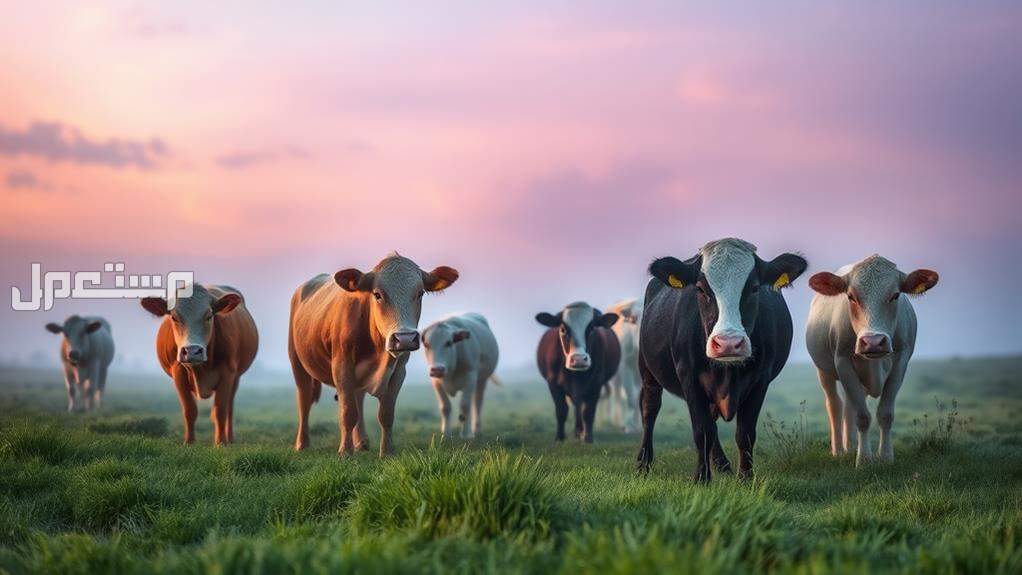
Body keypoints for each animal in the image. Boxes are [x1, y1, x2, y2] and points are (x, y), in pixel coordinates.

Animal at [140, 283, 257, 445]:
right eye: (174, 317)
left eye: (209, 316)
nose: (192, 350)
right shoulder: (178, 373)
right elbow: (190, 410)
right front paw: (189, 442)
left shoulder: (228, 374)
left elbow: (220, 410)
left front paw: (221, 442)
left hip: (236, 378)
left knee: (229, 407)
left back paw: (230, 438)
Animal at [535, 304, 621, 443]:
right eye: (563, 329)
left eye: (591, 328)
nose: (579, 359)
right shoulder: (553, 383)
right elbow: (561, 410)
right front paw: (559, 438)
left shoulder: (596, 384)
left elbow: (588, 412)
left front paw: (587, 438)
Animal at [600, 296, 641, 433]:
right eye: (634, 318)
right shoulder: (624, 366)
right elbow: (630, 397)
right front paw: (629, 427)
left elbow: (637, 397)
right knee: (616, 394)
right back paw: (616, 421)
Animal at [637, 236, 805, 482]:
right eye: (700, 288)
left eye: (755, 288)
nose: (728, 343)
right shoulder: (688, 376)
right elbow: (702, 430)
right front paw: (701, 478)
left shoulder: (761, 380)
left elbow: (745, 432)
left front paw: (745, 478)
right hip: (647, 370)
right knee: (650, 409)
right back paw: (643, 463)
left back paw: (722, 464)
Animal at [805, 254, 940, 465]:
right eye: (851, 296)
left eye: (895, 295)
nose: (873, 342)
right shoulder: (842, 361)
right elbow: (862, 416)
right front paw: (864, 459)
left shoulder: (900, 362)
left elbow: (885, 414)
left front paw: (885, 457)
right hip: (824, 371)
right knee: (835, 405)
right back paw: (839, 450)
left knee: (848, 407)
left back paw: (851, 446)